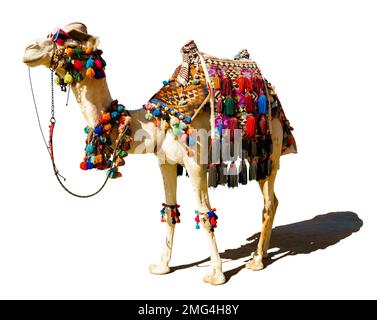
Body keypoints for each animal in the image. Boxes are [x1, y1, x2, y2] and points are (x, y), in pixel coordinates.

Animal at [23, 21, 296, 284]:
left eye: (68, 41)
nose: (29, 49)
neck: (152, 124)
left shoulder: (195, 164)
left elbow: (205, 215)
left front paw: (216, 275)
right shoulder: (165, 161)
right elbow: (170, 210)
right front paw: (162, 266)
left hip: (268, 151)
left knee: (268, 201)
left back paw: (257, 261)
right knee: (272, 201)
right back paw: (262, 252)